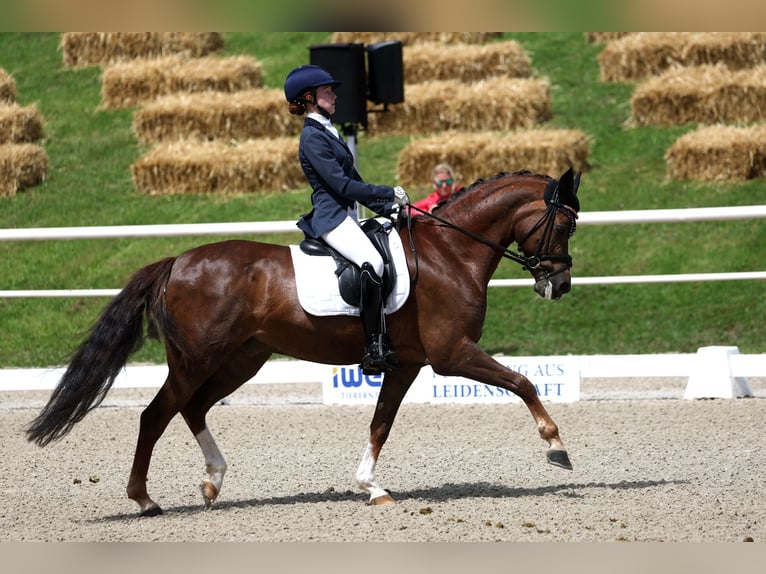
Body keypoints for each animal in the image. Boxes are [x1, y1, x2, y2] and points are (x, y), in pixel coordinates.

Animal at [27, 166, 584, 516]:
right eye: (564, 224)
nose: (559, 285)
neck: (451, 250)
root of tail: (178, 261)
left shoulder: (406, 363)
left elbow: (381, 424)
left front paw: (371, 487)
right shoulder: (452, 354)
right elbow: (523, 383)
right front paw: (556, 447)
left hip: (242, 359)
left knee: (194, 408)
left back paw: (213, 480)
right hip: (196, 359)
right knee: (156, 414)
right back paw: (145, 500)